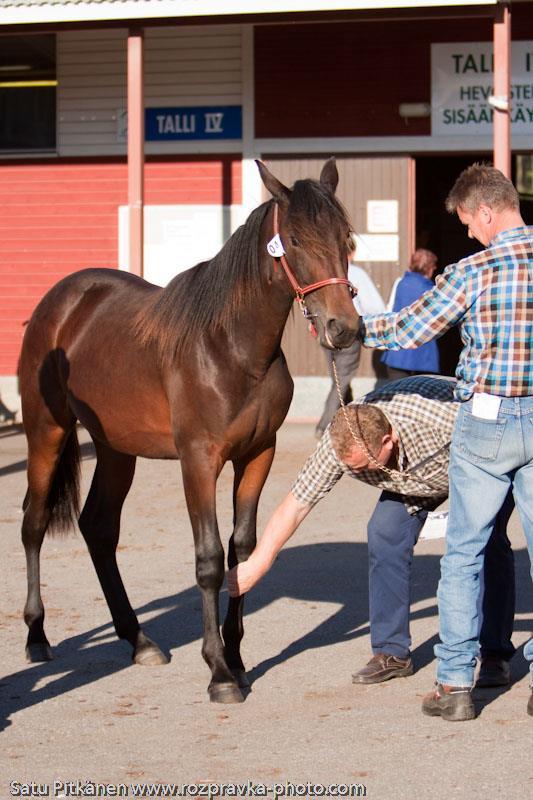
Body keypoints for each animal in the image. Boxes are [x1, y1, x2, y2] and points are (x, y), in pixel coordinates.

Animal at [20, 159, 360, 704]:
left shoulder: (257, 455)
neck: (232, 347)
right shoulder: (199, 461)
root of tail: (60, 301)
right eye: (293, 240)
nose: (343, 328)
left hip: (116, 450)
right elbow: (208, 559)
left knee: (99, 528)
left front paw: (237, 659)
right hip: (45, 431)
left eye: (346, 238)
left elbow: (241, 552)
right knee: (33, 524)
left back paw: (138, 640)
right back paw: (37, 636)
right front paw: (219, 672)